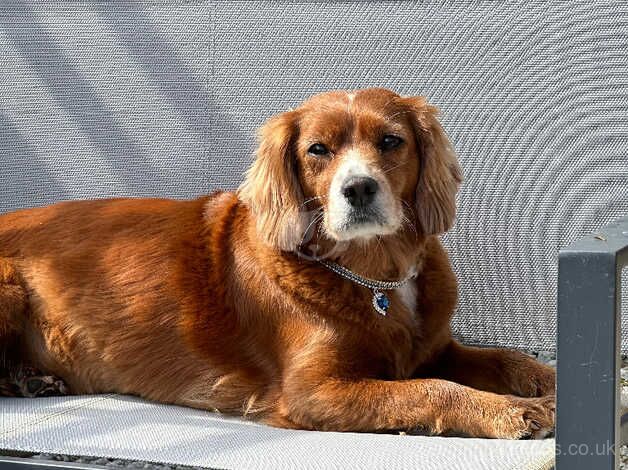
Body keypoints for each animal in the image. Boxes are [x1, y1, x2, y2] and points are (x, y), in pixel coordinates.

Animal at [0, 89, 552, 440]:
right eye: (318, 150)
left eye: (391, 141)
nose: (358, 189)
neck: (375, 275)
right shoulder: (313, 392)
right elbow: (430, 390)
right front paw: (514, 412)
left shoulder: (434, 347)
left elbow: (504, 358)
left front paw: (545, 380)